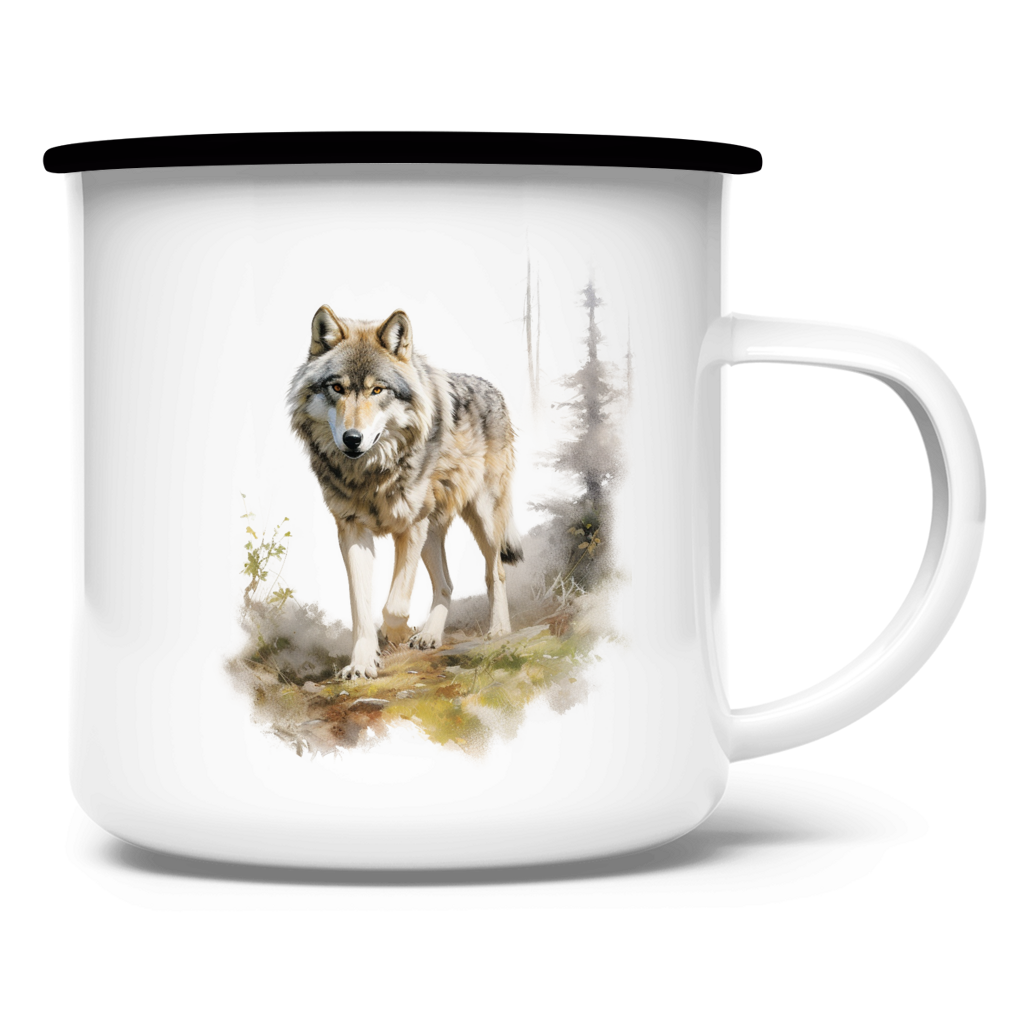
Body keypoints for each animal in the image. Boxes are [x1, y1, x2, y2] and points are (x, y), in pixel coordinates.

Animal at [283, 304, 524, 679]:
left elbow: (394, 606)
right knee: (447, 585)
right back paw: (429, 636)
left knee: (494, 572)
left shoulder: (409, 526)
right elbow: (361, 608)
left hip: (479, 520)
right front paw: (362, 662)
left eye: (377, 391)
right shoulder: (353, 530)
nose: (352, 439)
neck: (371, 475)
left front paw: (394, 633)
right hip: (432, 533)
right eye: (337, 387)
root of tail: (495, 389)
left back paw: (498, 630)